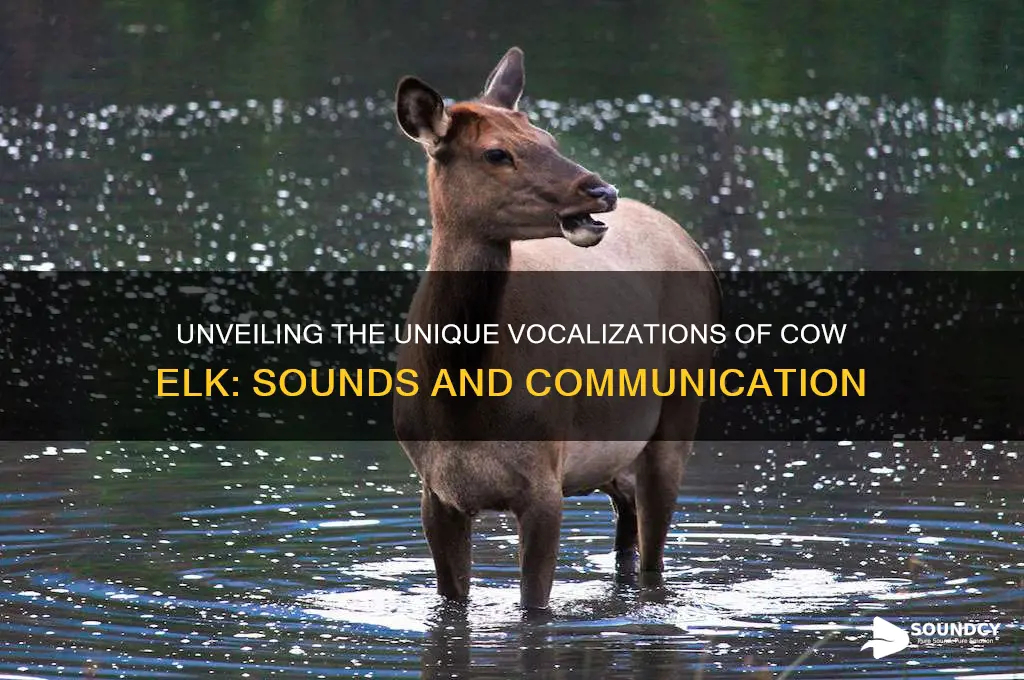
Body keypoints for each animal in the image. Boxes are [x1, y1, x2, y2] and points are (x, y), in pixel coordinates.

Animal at [392, 47, 720, 611]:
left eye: (548, 138)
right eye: (496, 153)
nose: (602, 190)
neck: (463, 404)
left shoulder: (543, 483)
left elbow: (534, 606)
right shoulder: (436, 492)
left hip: (679, 413)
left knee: (653, 557)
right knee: (628, 527)